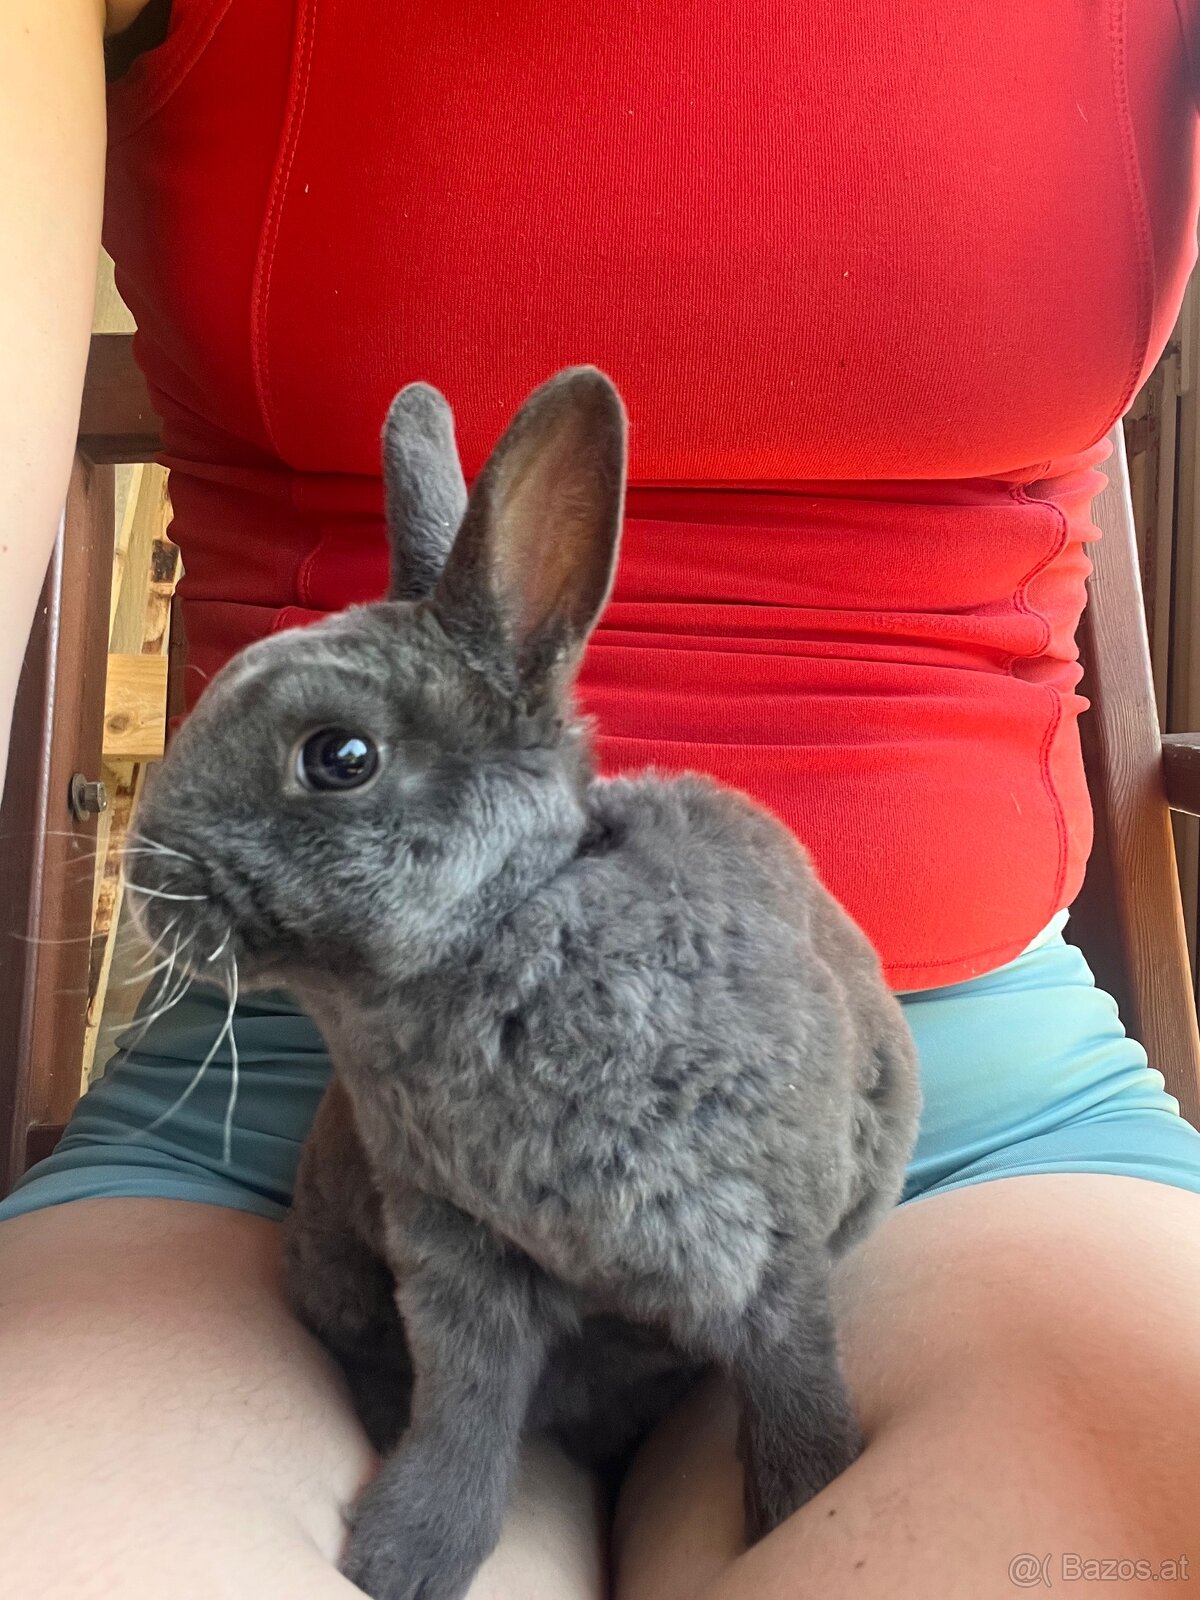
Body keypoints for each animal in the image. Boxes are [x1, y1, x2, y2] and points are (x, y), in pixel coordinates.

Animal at [127, 366, 922, 1600]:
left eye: (339, 757)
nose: (141, 875)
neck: (503, 930)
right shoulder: (454, 1251)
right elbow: (464, 1412)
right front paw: (403, 1556)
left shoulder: (766, 1246)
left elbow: (794, 1389)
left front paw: (803, 1506)